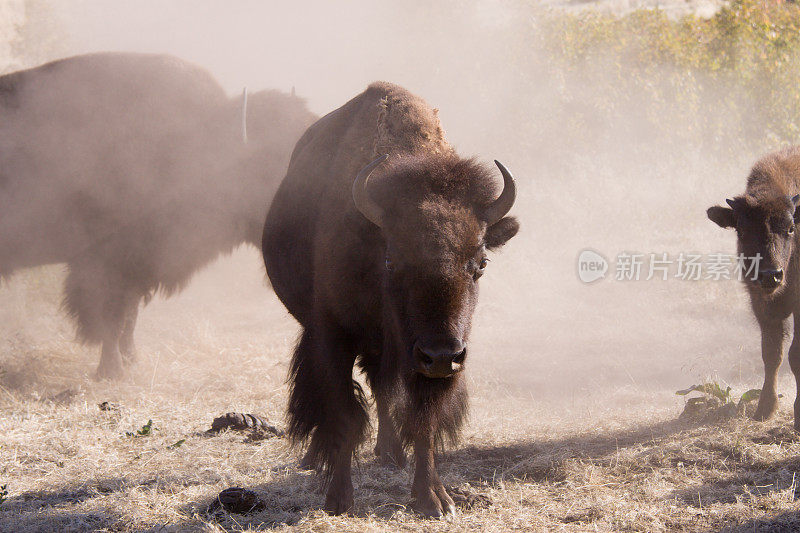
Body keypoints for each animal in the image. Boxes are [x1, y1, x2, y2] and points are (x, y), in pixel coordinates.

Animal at [0, 52, 318, 378]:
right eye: (272, 162)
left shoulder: (140, 264)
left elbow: (129, 316)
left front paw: (131, 360)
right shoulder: (107, 262)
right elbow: (111, 318)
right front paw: (112, 371)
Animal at [708, 144, 800, 428]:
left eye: (791, 228)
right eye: (741, 230)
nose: (771, 275)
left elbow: (795, 355)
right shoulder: (761, 305)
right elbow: (771, 354)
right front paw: (764, 409)